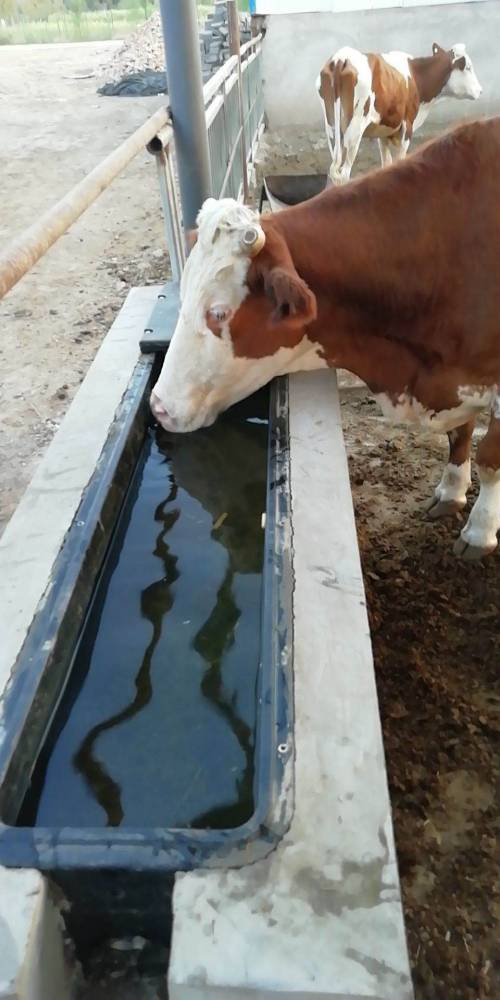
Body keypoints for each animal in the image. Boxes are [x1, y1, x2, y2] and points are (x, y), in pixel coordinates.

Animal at [151, 120, 500, 560]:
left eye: (219, 313)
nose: (158, 407)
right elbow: (461, 433)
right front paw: (450, 492)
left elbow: (490, 457)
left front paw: (479, 531)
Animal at [316, 41, 480, 184]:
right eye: (468, 67)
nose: (480, 90)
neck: (416, 76)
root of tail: (341, 58)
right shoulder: (407, 126)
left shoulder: (383, 131)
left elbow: (386, 165)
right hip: (354, 130)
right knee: (343, 174)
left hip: (332, 130)